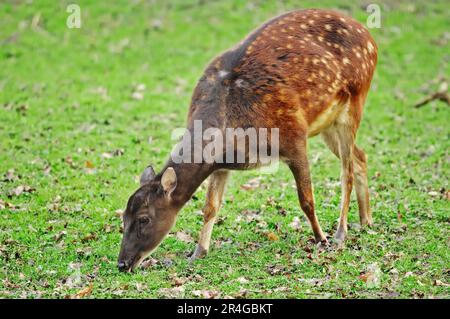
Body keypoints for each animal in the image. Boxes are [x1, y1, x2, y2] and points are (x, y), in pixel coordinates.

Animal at [118, 8, 378, 272]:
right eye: (123, 217)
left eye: (144, 218)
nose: (122, 263)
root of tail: (368, 35)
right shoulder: (220, 166)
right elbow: (210, 207)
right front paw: (198, 252)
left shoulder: (294, 136)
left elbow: (306, 199)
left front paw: (321, 239)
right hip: (328, 123)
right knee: (361, 156)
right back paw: (365, 220)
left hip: (355, 99)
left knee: (346, 171)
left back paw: (340, 233)